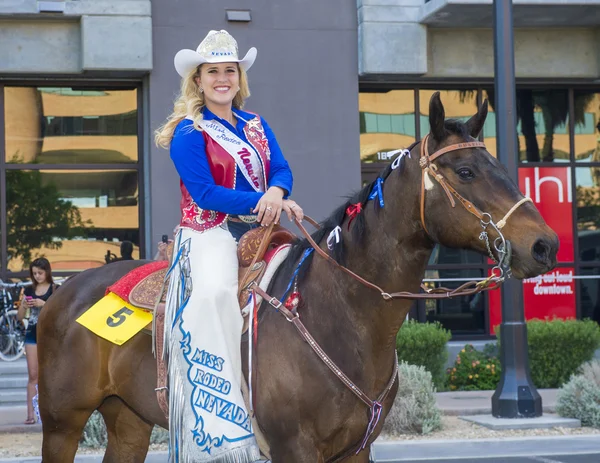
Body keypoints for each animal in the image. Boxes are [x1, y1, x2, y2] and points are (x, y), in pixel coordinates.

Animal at [37, 92, 556, 462]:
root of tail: (64, 293)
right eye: (465, 171)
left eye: (502, 166)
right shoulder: (295, 449)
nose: (545, 245)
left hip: (129, 420)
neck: (343, 312)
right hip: (63, 424)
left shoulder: (356, 450)